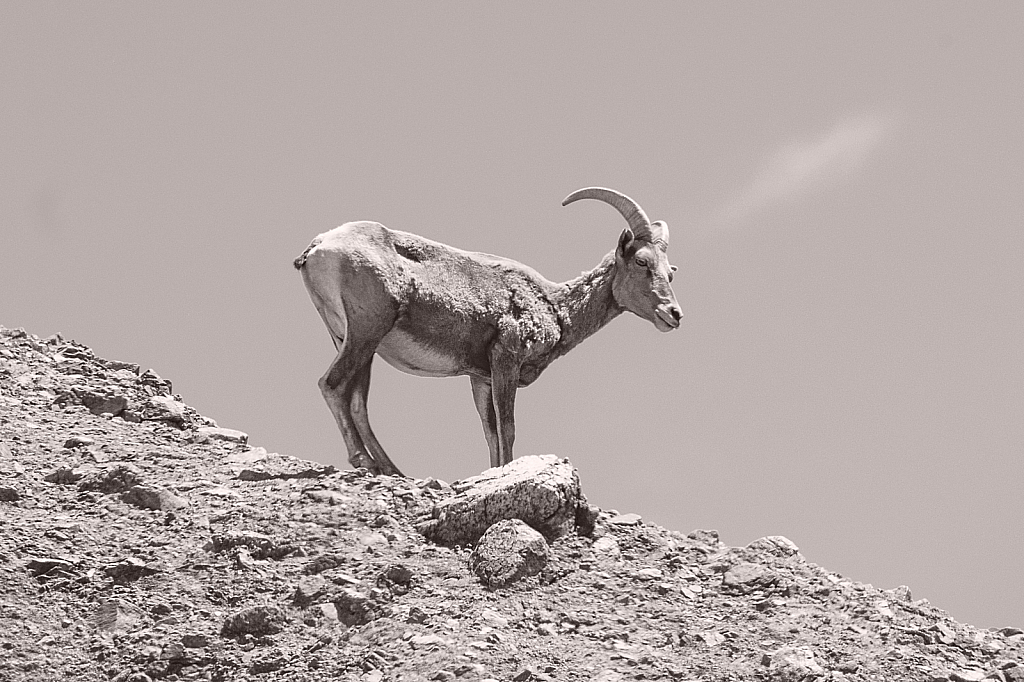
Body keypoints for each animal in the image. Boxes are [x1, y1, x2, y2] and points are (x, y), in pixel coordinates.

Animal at [296, 186, 679, 473]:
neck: (554, 306)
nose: (673, 314)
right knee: (332, 385)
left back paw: (391, 468)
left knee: (357, 400)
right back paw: (364, 461)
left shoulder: (480, 377)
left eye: (670, 272)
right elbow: (507, 428)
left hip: (349, 338)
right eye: (641, 261)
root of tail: (319, 248)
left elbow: (490, 431)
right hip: (366, 330)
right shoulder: (505, 360)